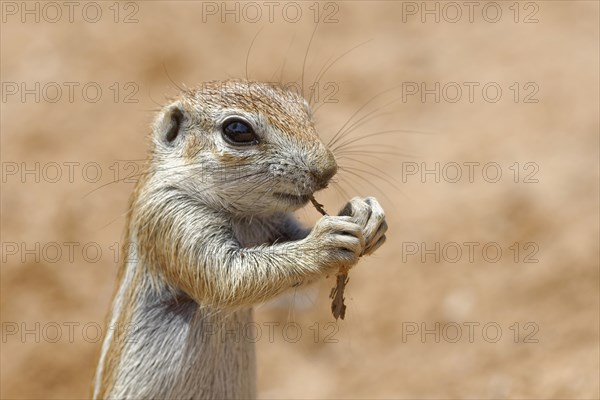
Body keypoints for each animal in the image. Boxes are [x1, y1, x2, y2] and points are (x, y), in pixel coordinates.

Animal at [91, 79, 386, 398]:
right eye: (237, 130)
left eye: (305, 111)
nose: (328, 169)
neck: (242, 217)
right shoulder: (169, 217)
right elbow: (227, 277)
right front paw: (325, 242)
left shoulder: (273, 225)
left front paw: (364, 212)